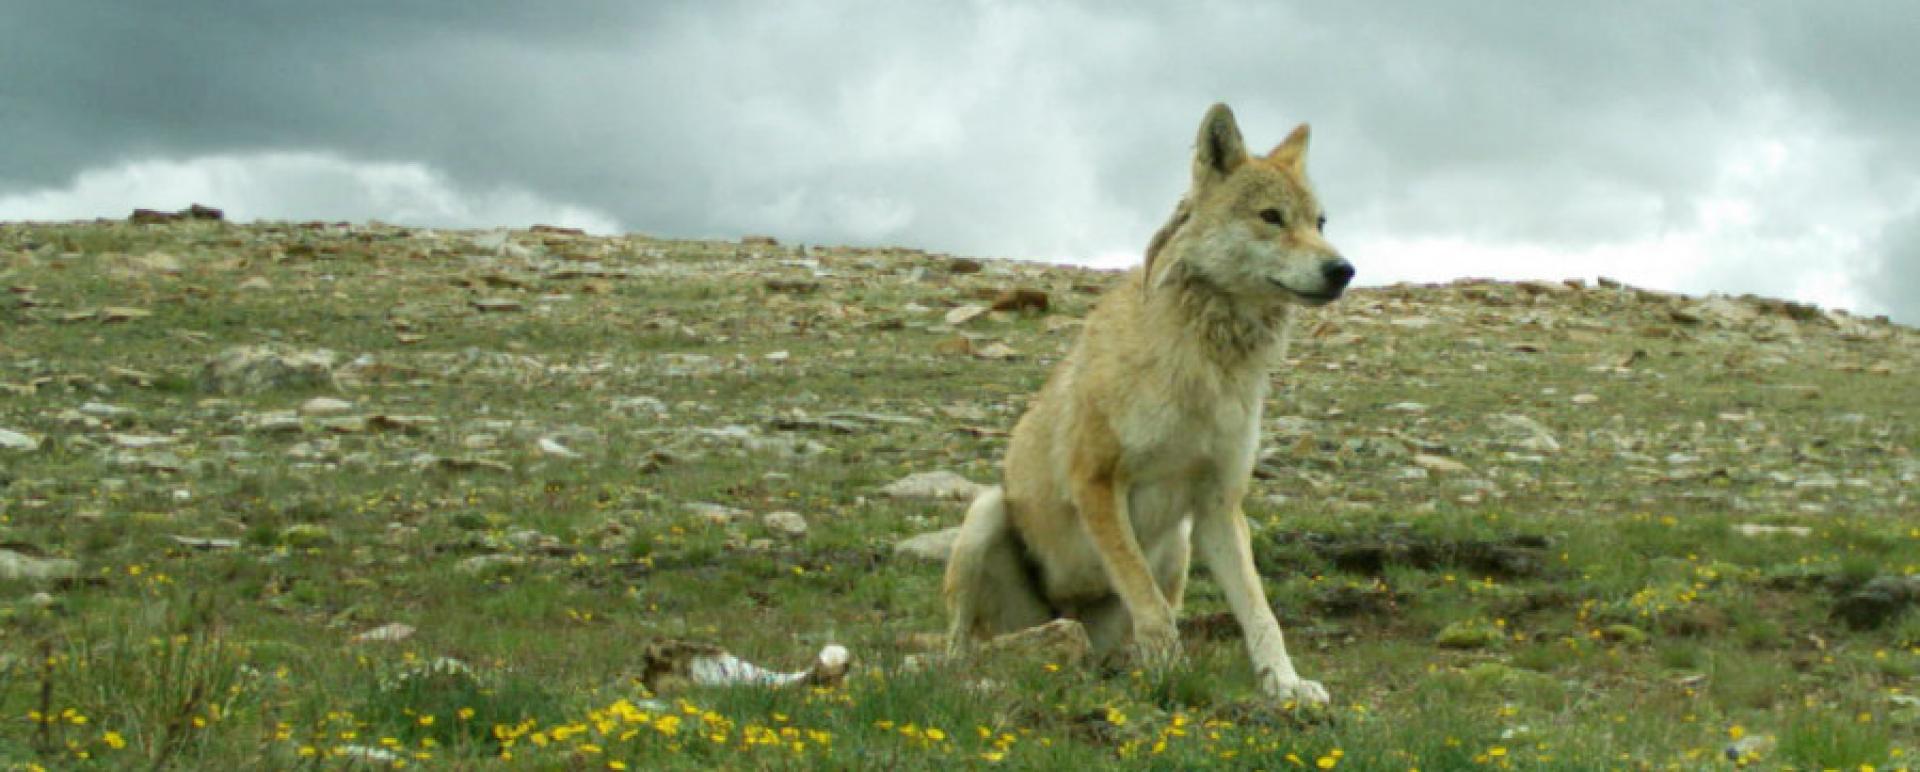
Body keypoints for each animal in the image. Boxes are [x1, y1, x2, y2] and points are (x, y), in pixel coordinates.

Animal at [942, 103, 1352, 705]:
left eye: (1320, 223)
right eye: (1272, 217)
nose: (1343, 270)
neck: (1207, 366)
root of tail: (1066, 615)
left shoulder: (1219, 504)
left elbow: (1259, 613)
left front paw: (1285, 685)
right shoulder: (1095, 482)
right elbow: (1151, 605)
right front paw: (1173, 676)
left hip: (1177, 543)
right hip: (986, 513)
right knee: (957, 643)